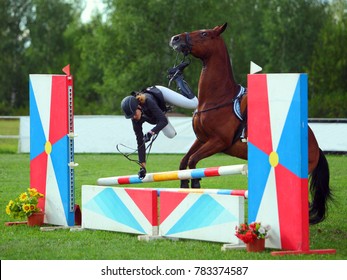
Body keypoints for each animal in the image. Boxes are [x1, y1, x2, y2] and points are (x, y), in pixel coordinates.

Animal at [170, 22, 334, 225]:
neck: (216, 98)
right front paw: (185, 184)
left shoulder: (218, 142)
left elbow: (193, 161)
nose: (175, 38)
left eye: (204, 34)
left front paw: (196, 183)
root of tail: (315, 145)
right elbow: (184, 161)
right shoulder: (201, 139)